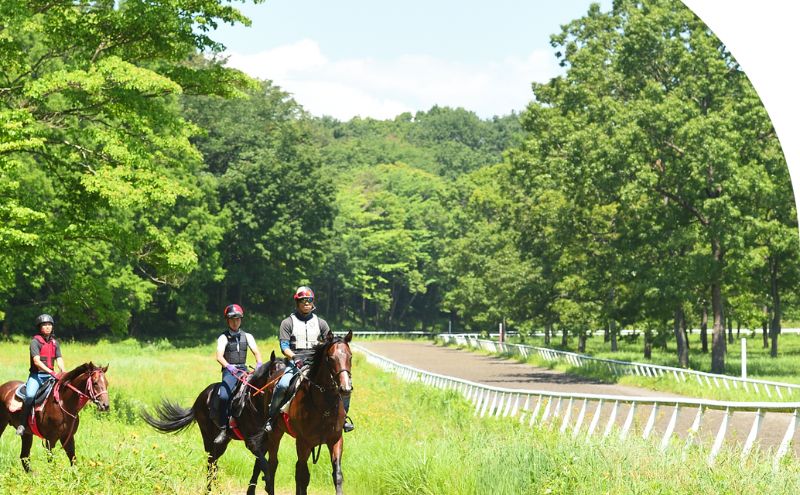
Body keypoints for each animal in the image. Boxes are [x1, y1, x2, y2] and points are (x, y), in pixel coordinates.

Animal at [145, 350, 288, 494]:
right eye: (274, 372)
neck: (256, 403)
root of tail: (199, 399)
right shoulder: (251, 443)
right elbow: (264, 465)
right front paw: (268, 483)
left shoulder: (264, 443)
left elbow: (258, 467)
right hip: (208, 438)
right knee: (211, 463)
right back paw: (209, 490)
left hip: (222, 443)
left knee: (214, 463)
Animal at [262, 330, 354, 495]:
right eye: (331, 358)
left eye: (350, 356)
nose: (345, 388)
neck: (325, 407)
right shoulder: (303, 442)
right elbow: (303, 476)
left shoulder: (335, 440)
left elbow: (337, 475)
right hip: (275, 433)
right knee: (273, 464)